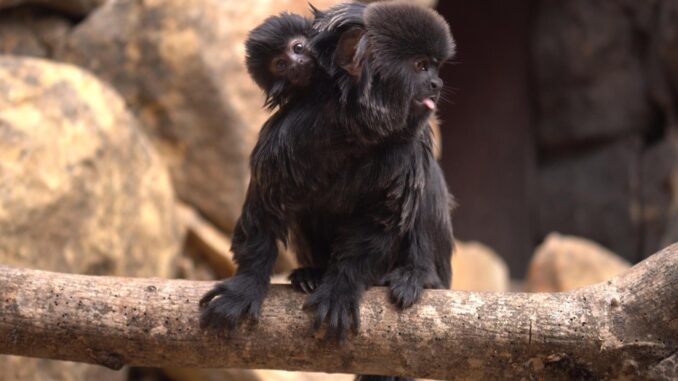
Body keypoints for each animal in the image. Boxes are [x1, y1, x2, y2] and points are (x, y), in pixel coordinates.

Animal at [202, 0, 456, 362]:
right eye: (421, 67)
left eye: (434, 67)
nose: (437, 83)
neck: (349, 133)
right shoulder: (286, 139)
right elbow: (263, 210)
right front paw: (244, 287)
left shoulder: (401, 153)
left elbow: (380, 221)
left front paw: (341, 287)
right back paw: (313, 273)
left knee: (425, 183)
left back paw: (418, 274)